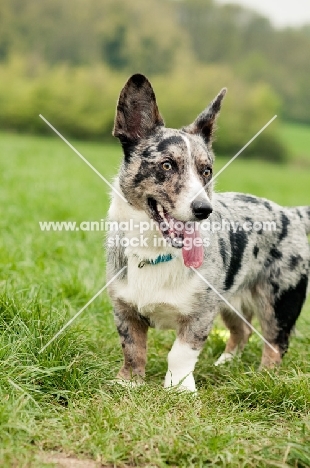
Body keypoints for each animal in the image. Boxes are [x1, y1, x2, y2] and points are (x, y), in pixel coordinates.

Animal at [106, 75, 310, 394]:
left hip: (278, 302)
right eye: (167, 165)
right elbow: (132, 348)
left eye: (207, 171)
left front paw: (178, 389)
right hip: (232, 302)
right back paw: (225, 364)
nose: (203, 209)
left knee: (275, 343)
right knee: (242, 331)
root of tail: (292, 213)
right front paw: (129, 383)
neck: (156, 250)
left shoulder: (201, 314)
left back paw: (264, 377)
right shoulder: (124, 308)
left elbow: (180, 353)